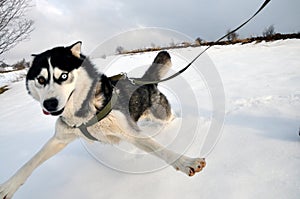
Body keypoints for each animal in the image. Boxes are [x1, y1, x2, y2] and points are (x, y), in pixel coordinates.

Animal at [0, 41, 205, 198]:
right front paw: (7, 187)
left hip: (162, 115)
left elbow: (161, 150)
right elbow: (30, 162)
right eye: (41, 80)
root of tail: (146, 81)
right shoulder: (60, 138)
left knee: (171, 119)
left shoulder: (128, 132)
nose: (50, 103)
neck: (82, 113)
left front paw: (186, 162)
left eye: (64, 75)